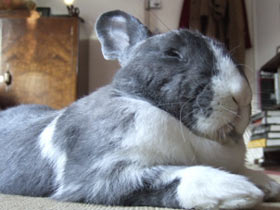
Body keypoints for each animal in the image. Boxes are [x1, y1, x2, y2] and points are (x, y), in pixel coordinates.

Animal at [0, 9, 280, 210]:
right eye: (172, 53)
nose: (240, 95)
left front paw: (267, 183)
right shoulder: (100, 176)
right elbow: (165, 177)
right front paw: (235, 189)